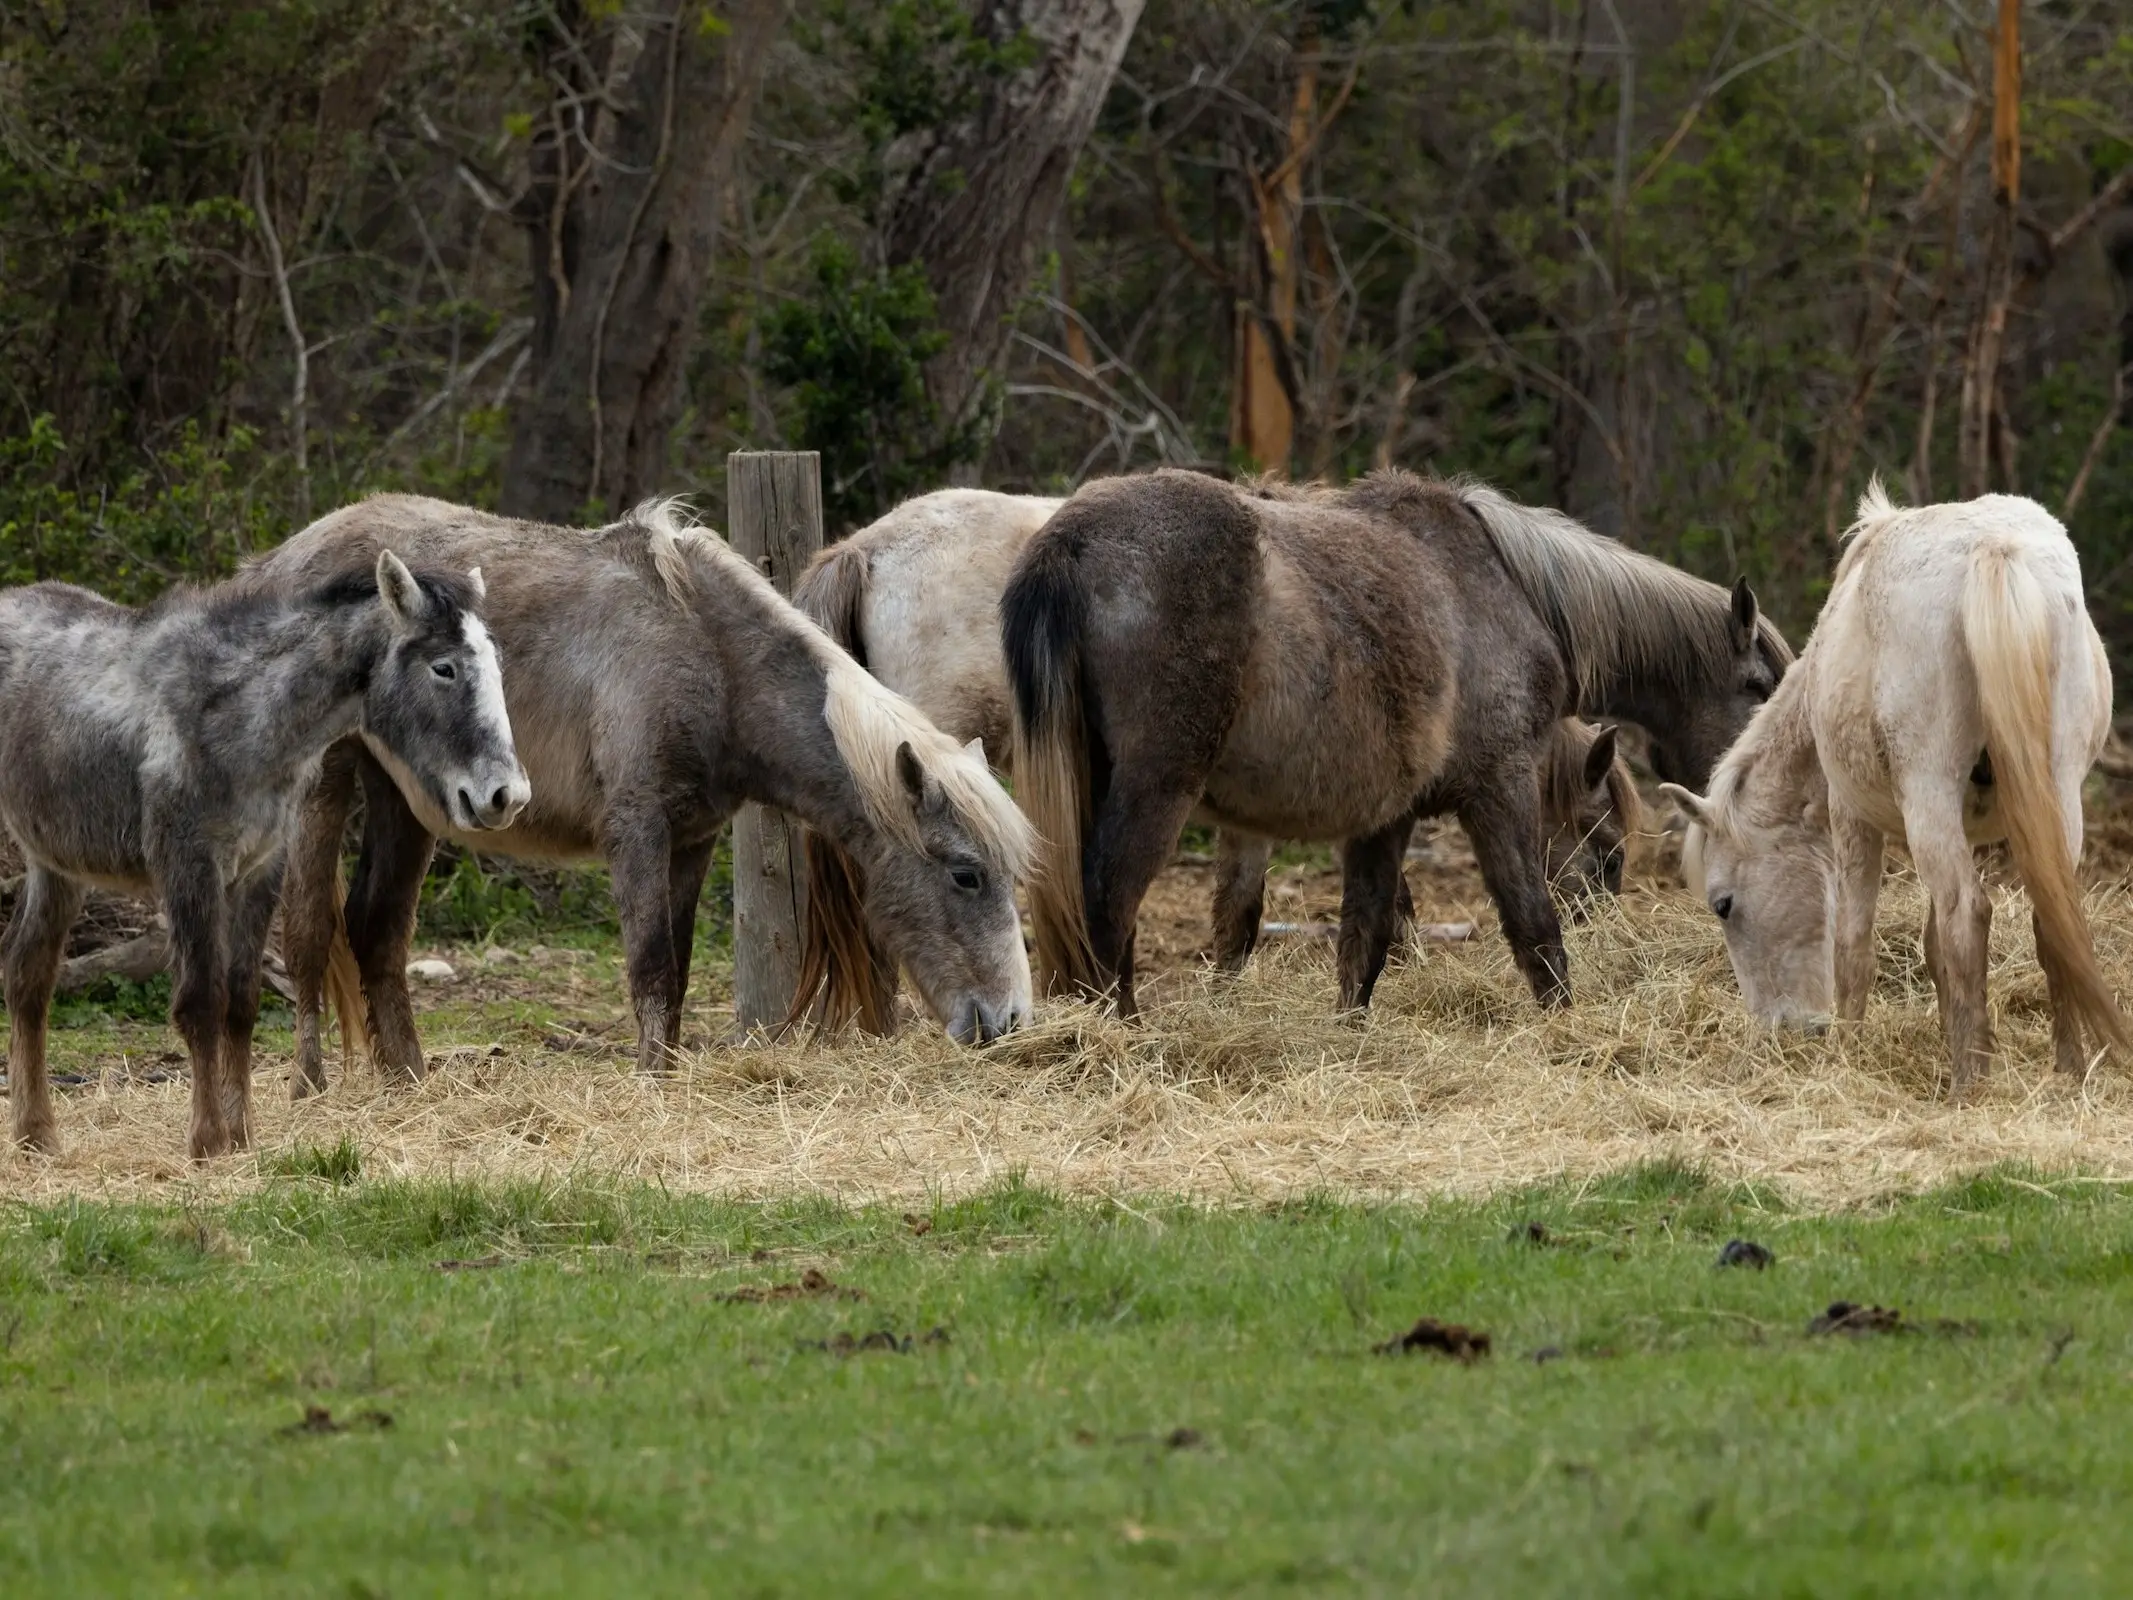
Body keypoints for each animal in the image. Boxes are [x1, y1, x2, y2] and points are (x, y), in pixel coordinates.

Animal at [0, 550, 528, 1152]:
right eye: (444, 668)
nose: (506, 796)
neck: (240, 718)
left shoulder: (260, 869)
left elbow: (241, 1001)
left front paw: (242, 1133)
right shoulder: (190, 868)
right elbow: (202, 1001)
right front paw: (207, 1140)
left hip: (55, 863)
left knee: (27, 973)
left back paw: (36, 1134)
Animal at [262, 488, 1036, 1100]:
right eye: (966, 875)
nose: (1008, 1021)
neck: (708, 654)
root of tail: (288, 555)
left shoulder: (691, 839)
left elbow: (679, 970)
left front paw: (661, 1078)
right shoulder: (636, 829)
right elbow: (650, 965)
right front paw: (648, 1088)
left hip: (407, 798)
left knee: (377, 931)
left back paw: (408, 1085)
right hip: (325, 781)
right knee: (309, 934)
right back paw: (309, 1088)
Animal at [1006, 467, 1791, 1015]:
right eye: (1760, 689)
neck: (1508, 588)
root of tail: (1071, 538)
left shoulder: (1386, 818)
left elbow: (1366, 939)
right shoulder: (1499, 790)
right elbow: (1532, 925)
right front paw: (1565, 1025)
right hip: (1155, 790)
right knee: (1108, 907)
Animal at [1663, 482, 2133, 1100]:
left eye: (1723, 905)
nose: (1781, 1029)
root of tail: (1996, 549)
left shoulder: (1852, 820)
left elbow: (1855, 943)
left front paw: (1847, 1055)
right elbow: (1934, 945)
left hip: (1930, 796)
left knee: (1968, 914)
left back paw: (1968, 1085)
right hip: (2054, 795)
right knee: (2050, 914)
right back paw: (2067, 1070)